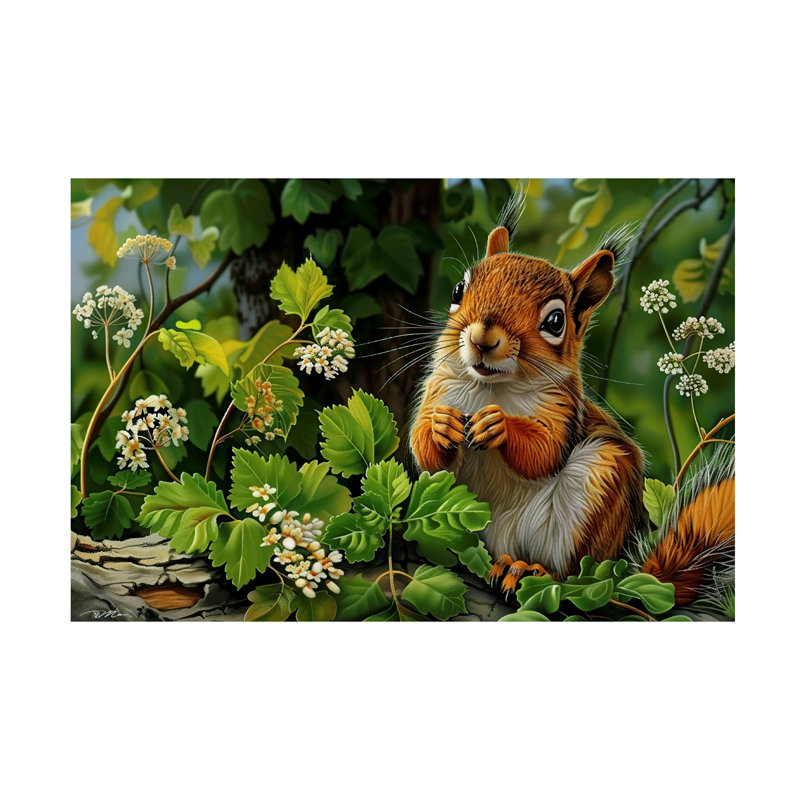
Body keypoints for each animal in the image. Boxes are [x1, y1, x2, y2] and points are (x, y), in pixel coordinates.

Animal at [409, 201, 734, 606]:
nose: (483, 338)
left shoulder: (564, 411)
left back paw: (527, 570)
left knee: (570, 572)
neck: (493, 387)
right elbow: (425, 453)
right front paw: (440, 427)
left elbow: (544, 452)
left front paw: (499, 425)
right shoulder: (438, 390)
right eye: (458, 289)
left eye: (555, 320)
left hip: (598, 485)